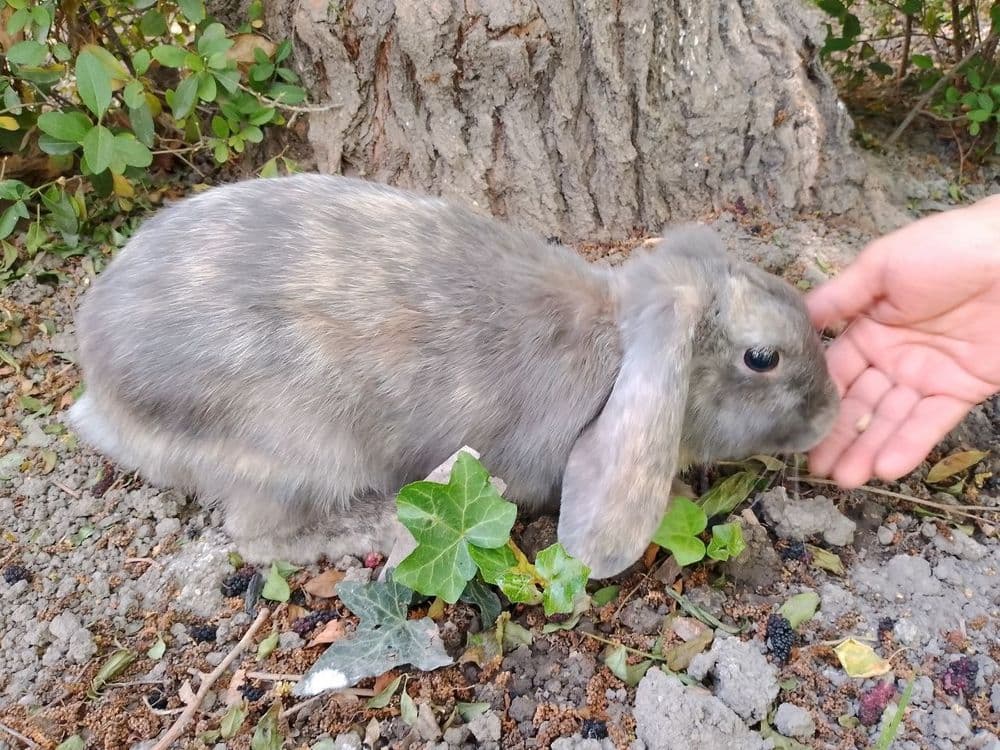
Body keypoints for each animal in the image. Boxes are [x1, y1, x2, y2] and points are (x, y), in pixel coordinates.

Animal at [67, 173, 839, 579]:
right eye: (762, 358)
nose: (831, 413)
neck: (618, 343)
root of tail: (100, 389)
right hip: (296, 451)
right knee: (257, 538)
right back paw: (384, 528)